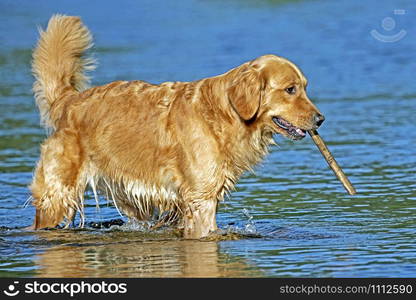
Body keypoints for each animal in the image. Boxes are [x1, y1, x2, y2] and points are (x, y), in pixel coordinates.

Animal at [29, 14, 324, 239]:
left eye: (305, 87)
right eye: (290, 89)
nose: (320, 119)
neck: (225, 114)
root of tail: (70, 100)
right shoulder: (201, 199)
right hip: (58, 196)